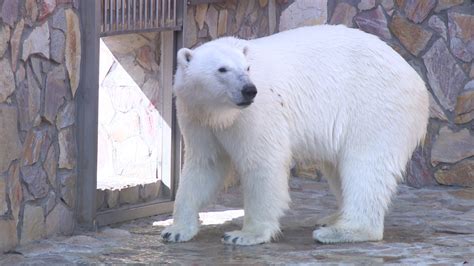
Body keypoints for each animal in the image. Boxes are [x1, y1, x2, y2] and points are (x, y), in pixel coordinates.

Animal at [160, 25, 430, 245]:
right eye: (222, 69)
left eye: (247, 68)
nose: (249, 90)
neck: (220, 111)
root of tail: (417, 81)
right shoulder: (197, 116)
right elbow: (205, 164)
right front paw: (175, 230)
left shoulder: (256, 113)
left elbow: (263, 163)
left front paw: (244, 234)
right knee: (339, 167)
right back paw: (333, 218)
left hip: (375, 108)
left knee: (366, 166)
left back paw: (340, 231)